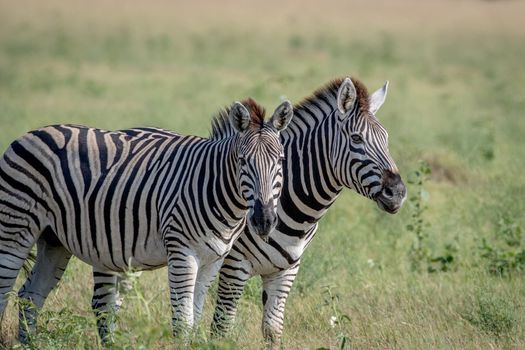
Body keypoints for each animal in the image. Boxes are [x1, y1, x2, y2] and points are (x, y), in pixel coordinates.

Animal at [0, 98, 294, 342]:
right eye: (243, 161)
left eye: (281, 160)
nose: (264, 220)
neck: (214, 189)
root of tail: (31, 133)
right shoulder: (182, 253)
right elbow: (183, 323)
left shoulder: (213, 260)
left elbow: (196, 319)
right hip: (15, 228)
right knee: (5, 291)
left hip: (54, 240)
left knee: (30, 295)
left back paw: (28, 344)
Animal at [211, 76, 408, 348]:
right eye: (356, 139)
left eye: (386, 139)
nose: (398, 193)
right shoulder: (233, 266)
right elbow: (221, 328)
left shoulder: (285, 271)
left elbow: (272, 331)